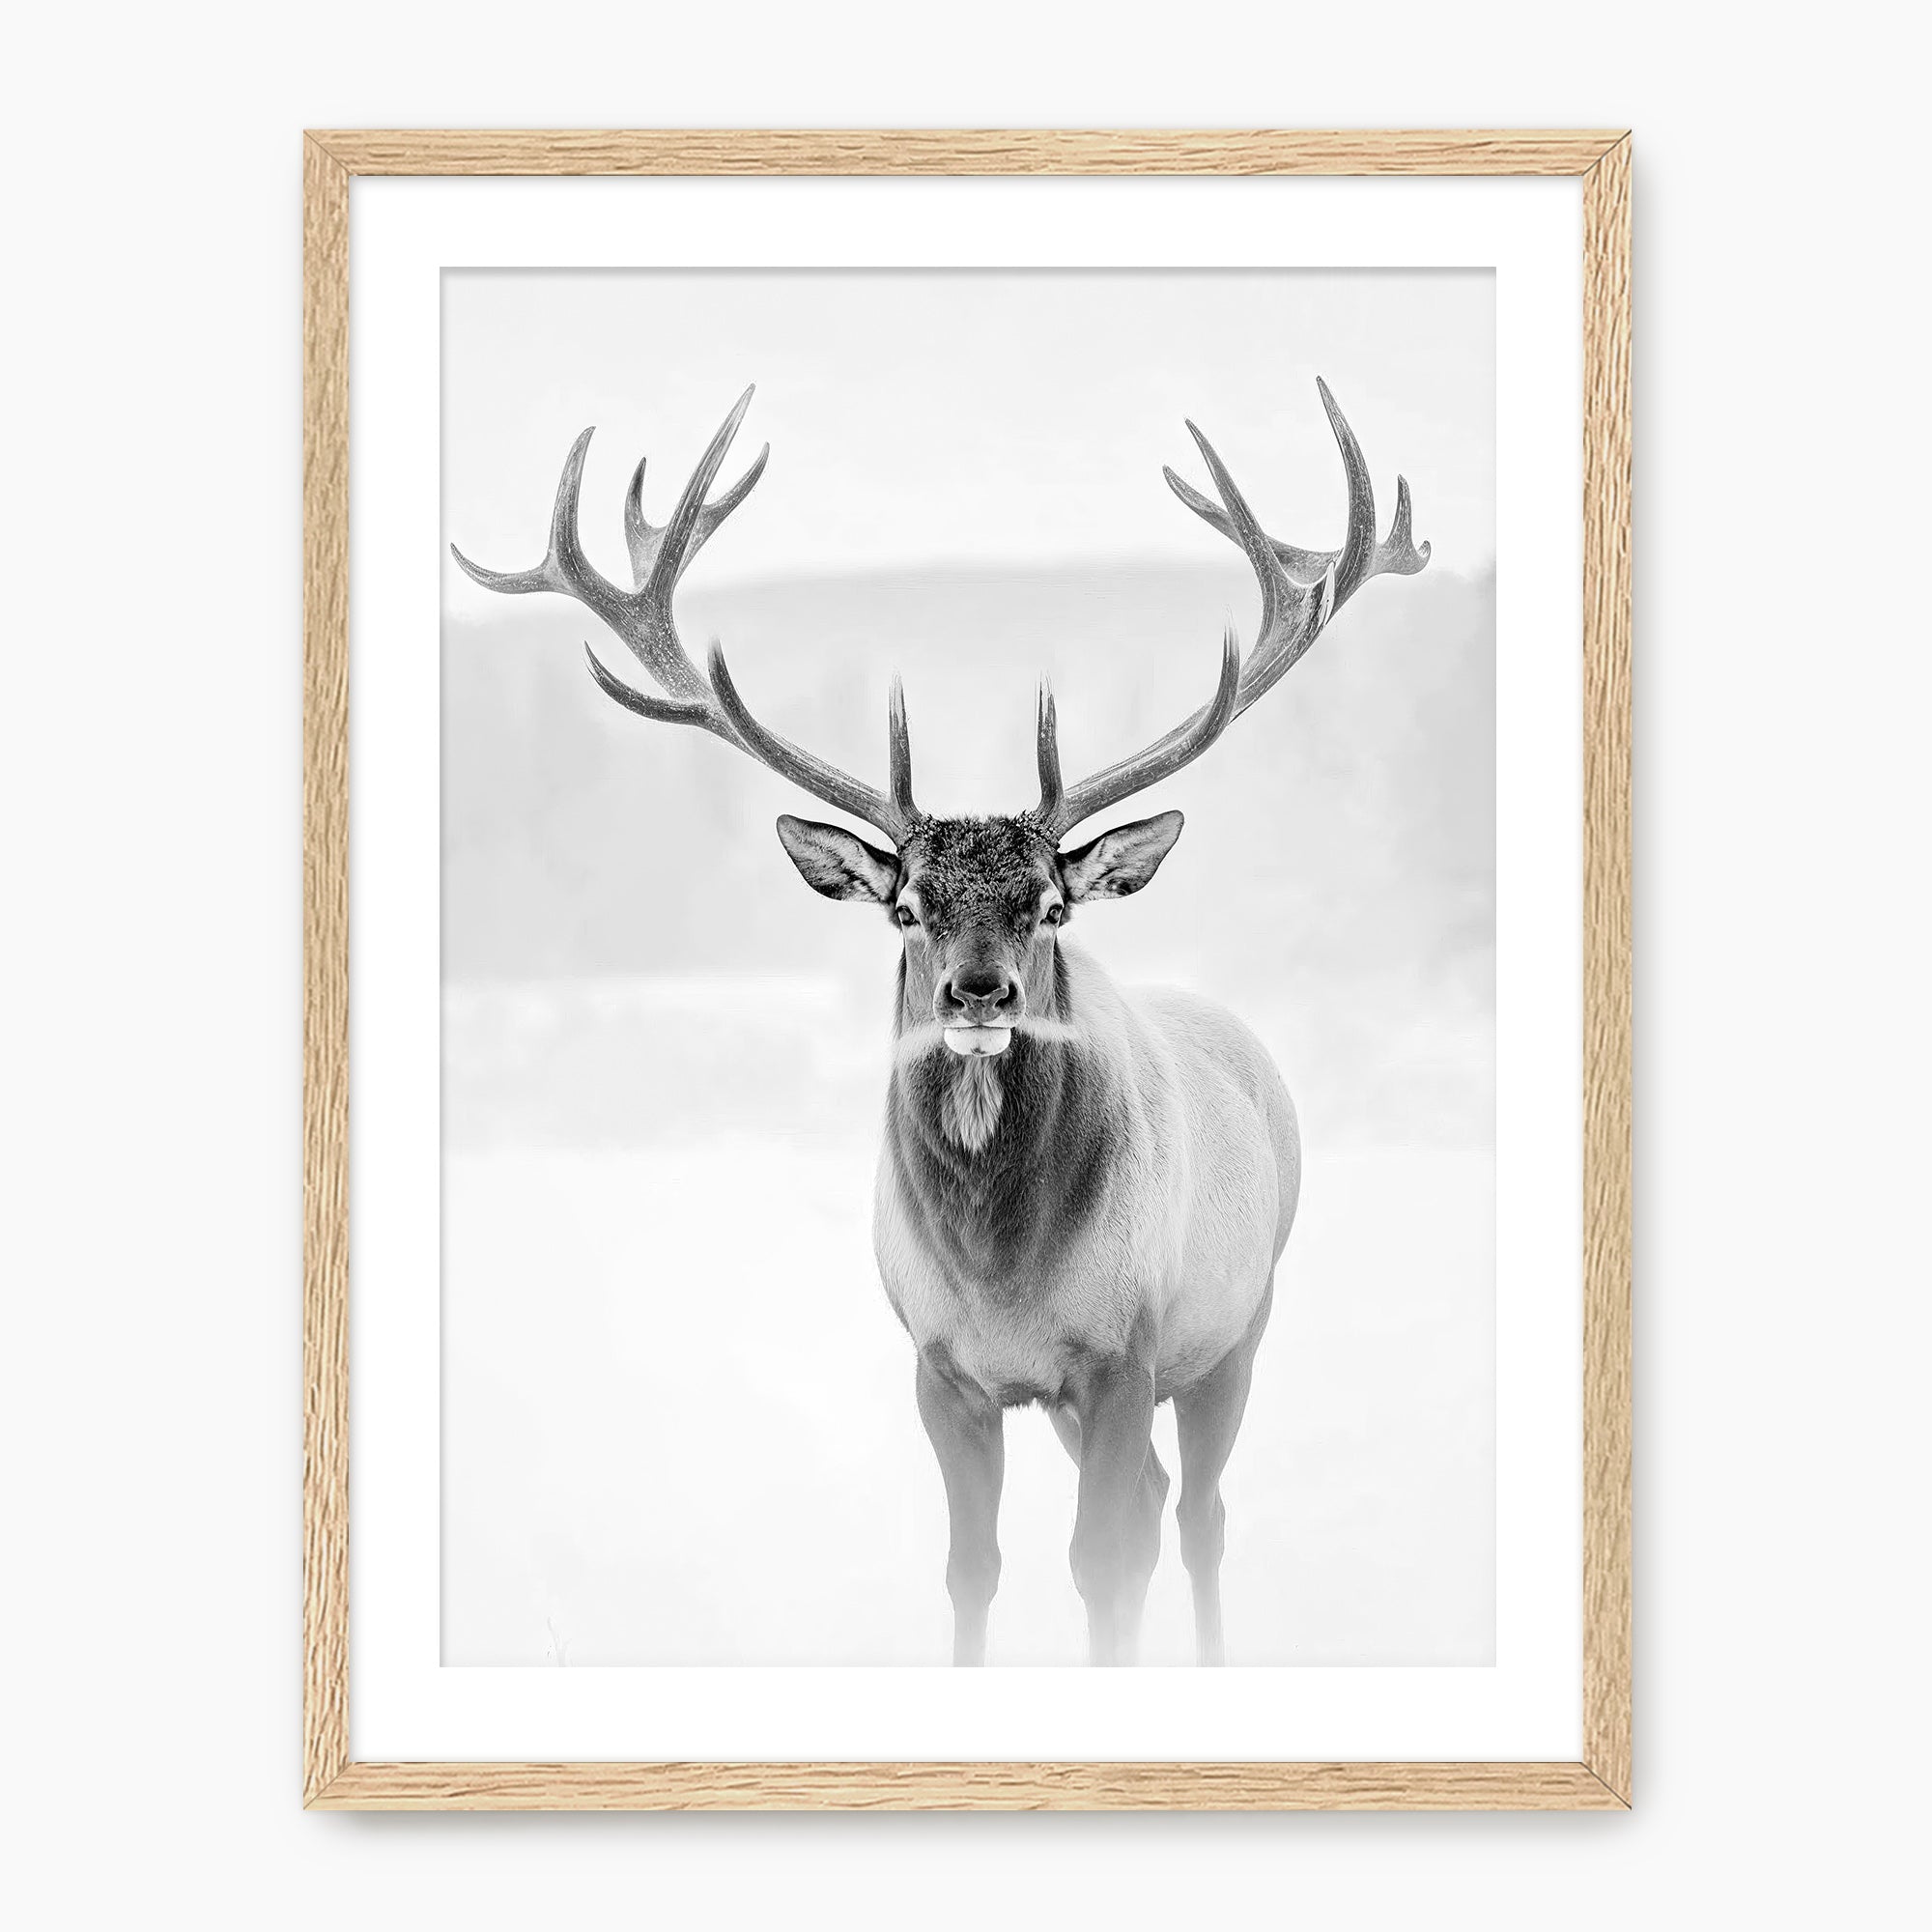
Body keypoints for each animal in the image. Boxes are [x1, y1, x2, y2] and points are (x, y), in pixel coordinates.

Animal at [452, 382, 1428, 1665]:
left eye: (1049, 904)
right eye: (906, 905)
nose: (977, 993)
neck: (998, 1270)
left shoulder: (1121, 1350)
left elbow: (1100, 1564)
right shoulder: (939, 1366)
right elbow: (974, 1568)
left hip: (1236, 1321)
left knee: (1199, 1515)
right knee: (1164, 1498)